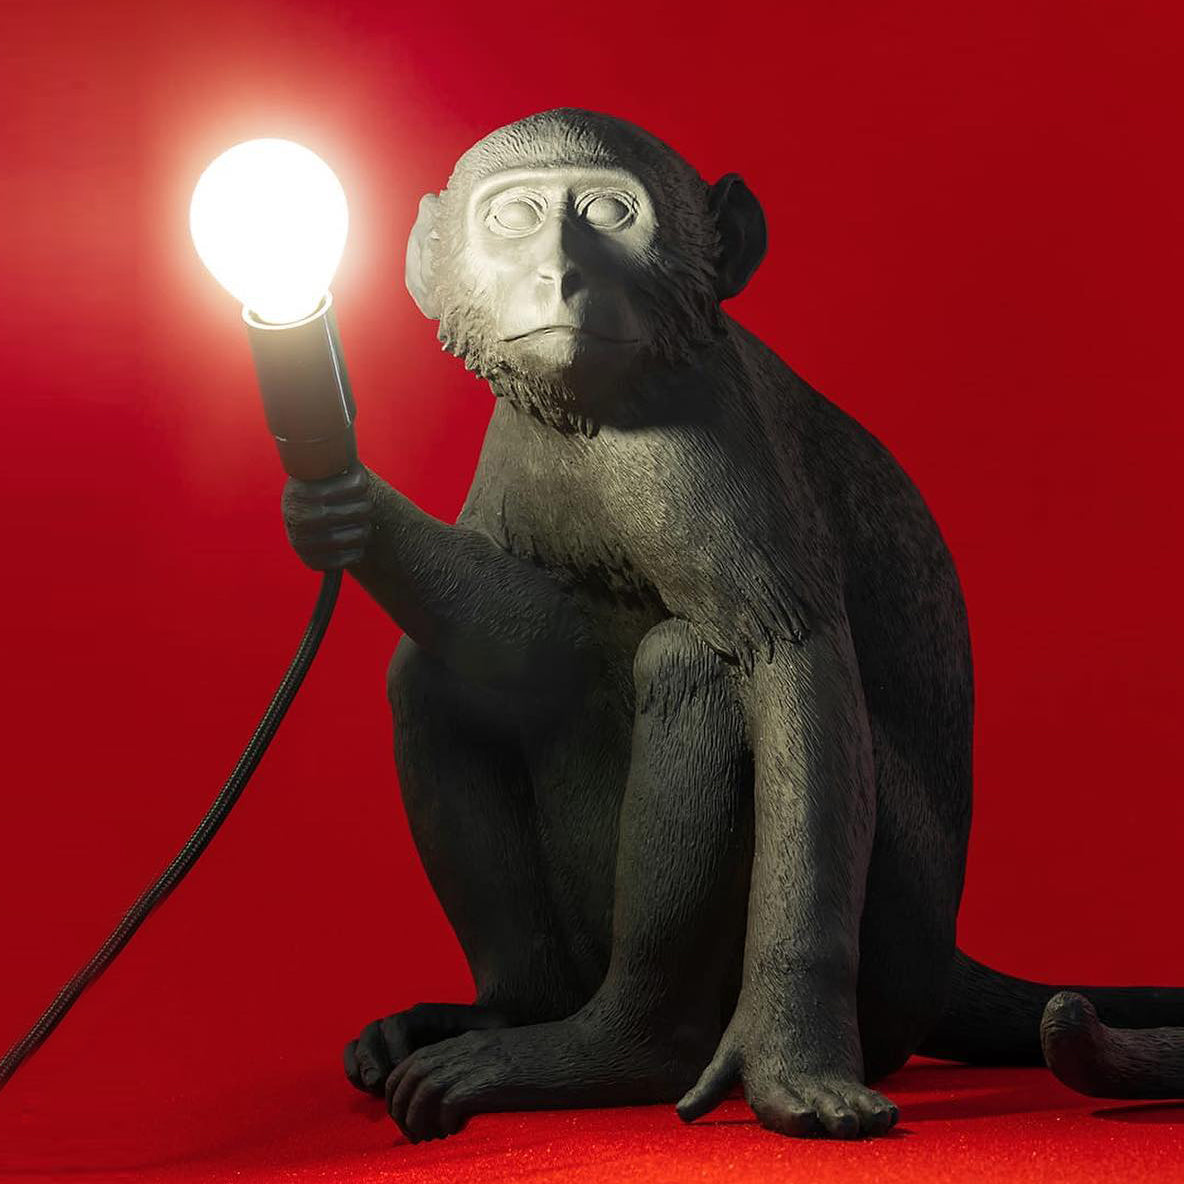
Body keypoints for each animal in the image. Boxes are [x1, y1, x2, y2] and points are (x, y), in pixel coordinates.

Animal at [280, 108, 1184, 1142]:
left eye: (608, 212)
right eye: (514, 216)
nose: (559, 275)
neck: (600, 411)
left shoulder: (697, 446)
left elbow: (786, 664)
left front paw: (792, 1054)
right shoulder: (517, 442)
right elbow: (531, 640)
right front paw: (342, 507)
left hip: (897, 950)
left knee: (692, 663)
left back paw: (623, 1047)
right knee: (437, 677)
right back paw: (512, 1010)